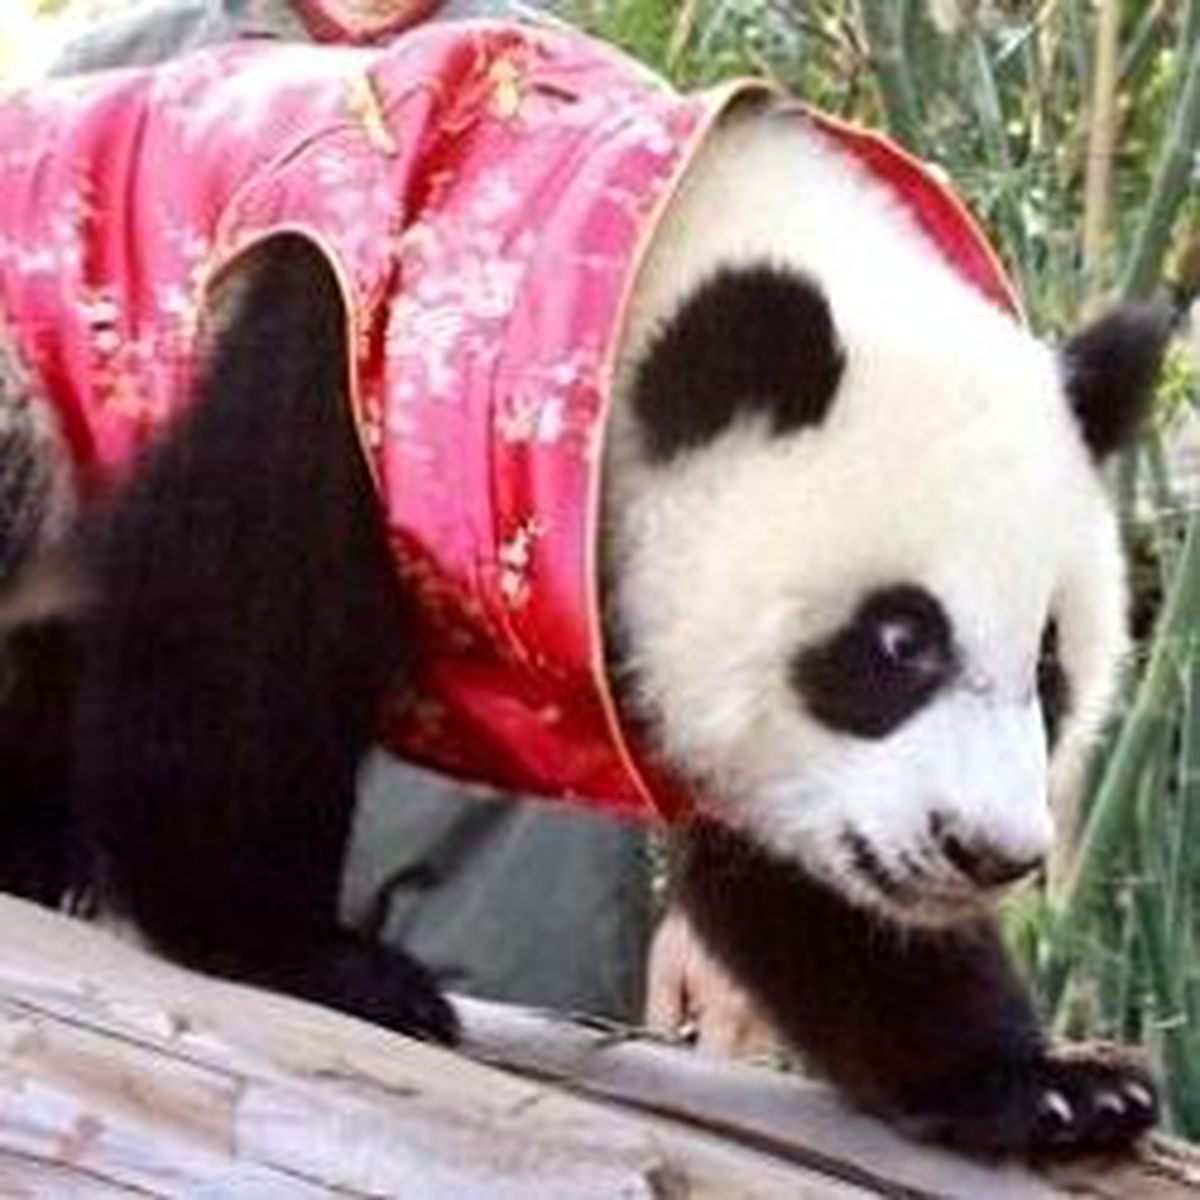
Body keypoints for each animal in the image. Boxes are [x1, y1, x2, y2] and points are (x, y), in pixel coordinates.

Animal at [0, 21, 1172, 1159]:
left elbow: (804, 886)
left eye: (1051, 667)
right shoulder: (346, 335)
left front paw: (1041, 1085)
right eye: (899, 643)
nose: (988, 852)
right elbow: (242, 626)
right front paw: (298, 951)